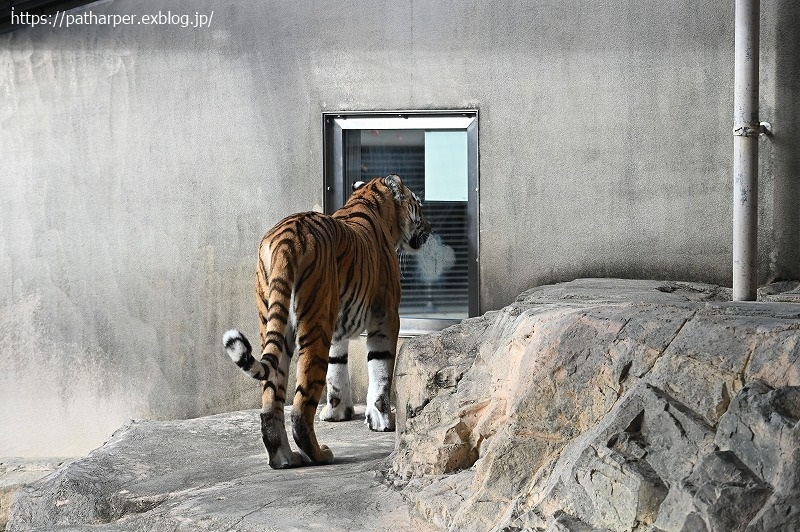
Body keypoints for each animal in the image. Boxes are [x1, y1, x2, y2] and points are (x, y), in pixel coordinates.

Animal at [219, 176, 432, 470]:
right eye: (418, 205)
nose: (430, 228)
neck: (370, 200)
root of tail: (286, 236)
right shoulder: (386, 316)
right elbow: (380, 369)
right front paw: (381, 420)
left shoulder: (337, 328)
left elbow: (337, 368)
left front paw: (338, 411)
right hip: (315, 324)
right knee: (299, 408)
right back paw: (320, 455)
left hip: (276, 322)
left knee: (271, 403)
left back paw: (284, 458)